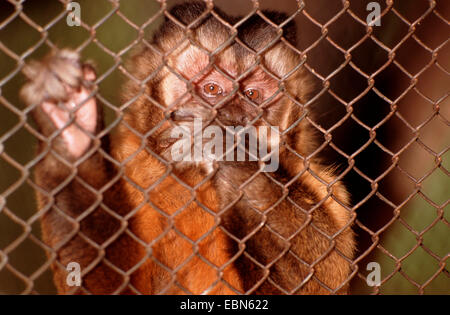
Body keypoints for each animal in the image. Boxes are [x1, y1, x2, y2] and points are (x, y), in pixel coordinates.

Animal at [19, 1, 356, 296]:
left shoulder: (325, 187)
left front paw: (238, 161)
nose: (234, 120)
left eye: (252, 94)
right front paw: (72, 129)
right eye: (211, 88)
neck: (196, 181)